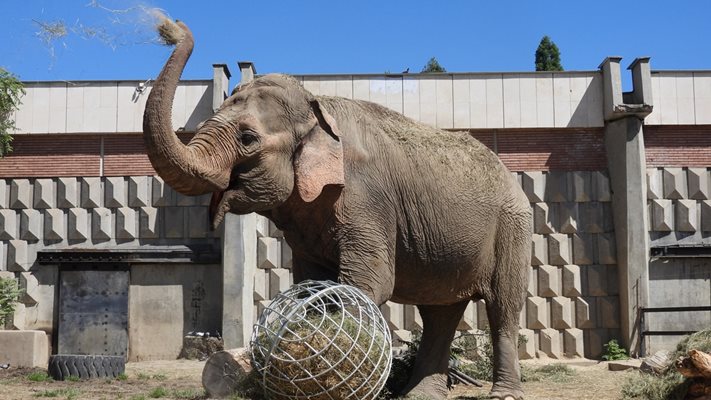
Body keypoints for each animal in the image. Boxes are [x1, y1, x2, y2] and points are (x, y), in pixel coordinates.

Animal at [145, 18, 532, 400]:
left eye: (248, 139)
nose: (171, 26)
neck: (317, 105)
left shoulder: (368, 199)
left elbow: (370, 282)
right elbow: (309, 283)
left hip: (513, 226)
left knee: (503, 306)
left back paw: (503, 394)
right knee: (440, 312)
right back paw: (418, 395)